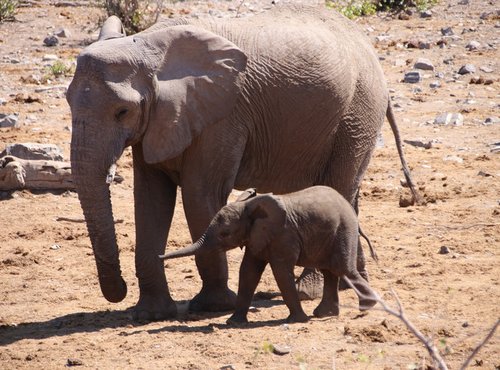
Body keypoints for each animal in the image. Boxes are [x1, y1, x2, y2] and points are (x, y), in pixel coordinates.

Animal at [161, 186, 378, 322]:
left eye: (225, 234)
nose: (159, 257)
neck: (248, 206)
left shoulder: (283, 234)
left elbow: (280, 271)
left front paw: (297, 321)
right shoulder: (257, 235)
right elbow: (248, 271)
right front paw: (233, 323)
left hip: (343, 231)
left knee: (343, 270)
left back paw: (367, 308)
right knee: (330, 271)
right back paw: (324, 314)